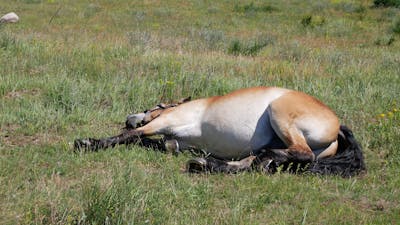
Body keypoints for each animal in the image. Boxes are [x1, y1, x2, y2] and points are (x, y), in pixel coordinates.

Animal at [74, 87, 366, 177]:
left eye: (156, 105)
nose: (129, 118)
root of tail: (337, 124)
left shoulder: (164, 123)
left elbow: (133, 136)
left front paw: (88, 142)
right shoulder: (173, 143)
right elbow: (154, 142)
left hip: (279, 114)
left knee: (301, 153)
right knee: (253, 162)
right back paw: (205, 164)